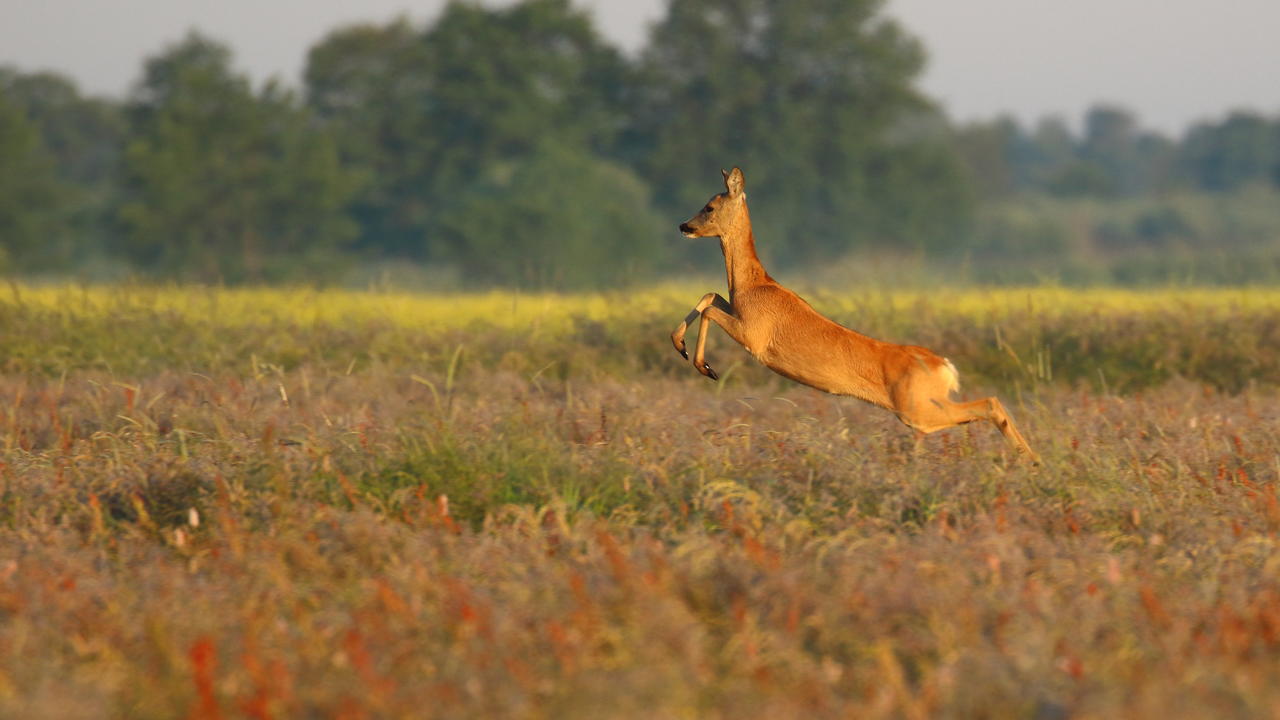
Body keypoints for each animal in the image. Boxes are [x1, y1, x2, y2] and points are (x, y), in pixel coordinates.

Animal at [670, 166, 1039, 458]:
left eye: (710, 205)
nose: (684, 226)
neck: (754, 284)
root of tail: (944, 366)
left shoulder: (754, 336)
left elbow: (710, 310)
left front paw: (705, 367)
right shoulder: (737, 310)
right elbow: (710, 295)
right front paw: (681, 346)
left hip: (915, 407)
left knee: (987, 404)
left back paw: (1031, 461)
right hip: (926, 403)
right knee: (983, 408)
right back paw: (1032, 461)